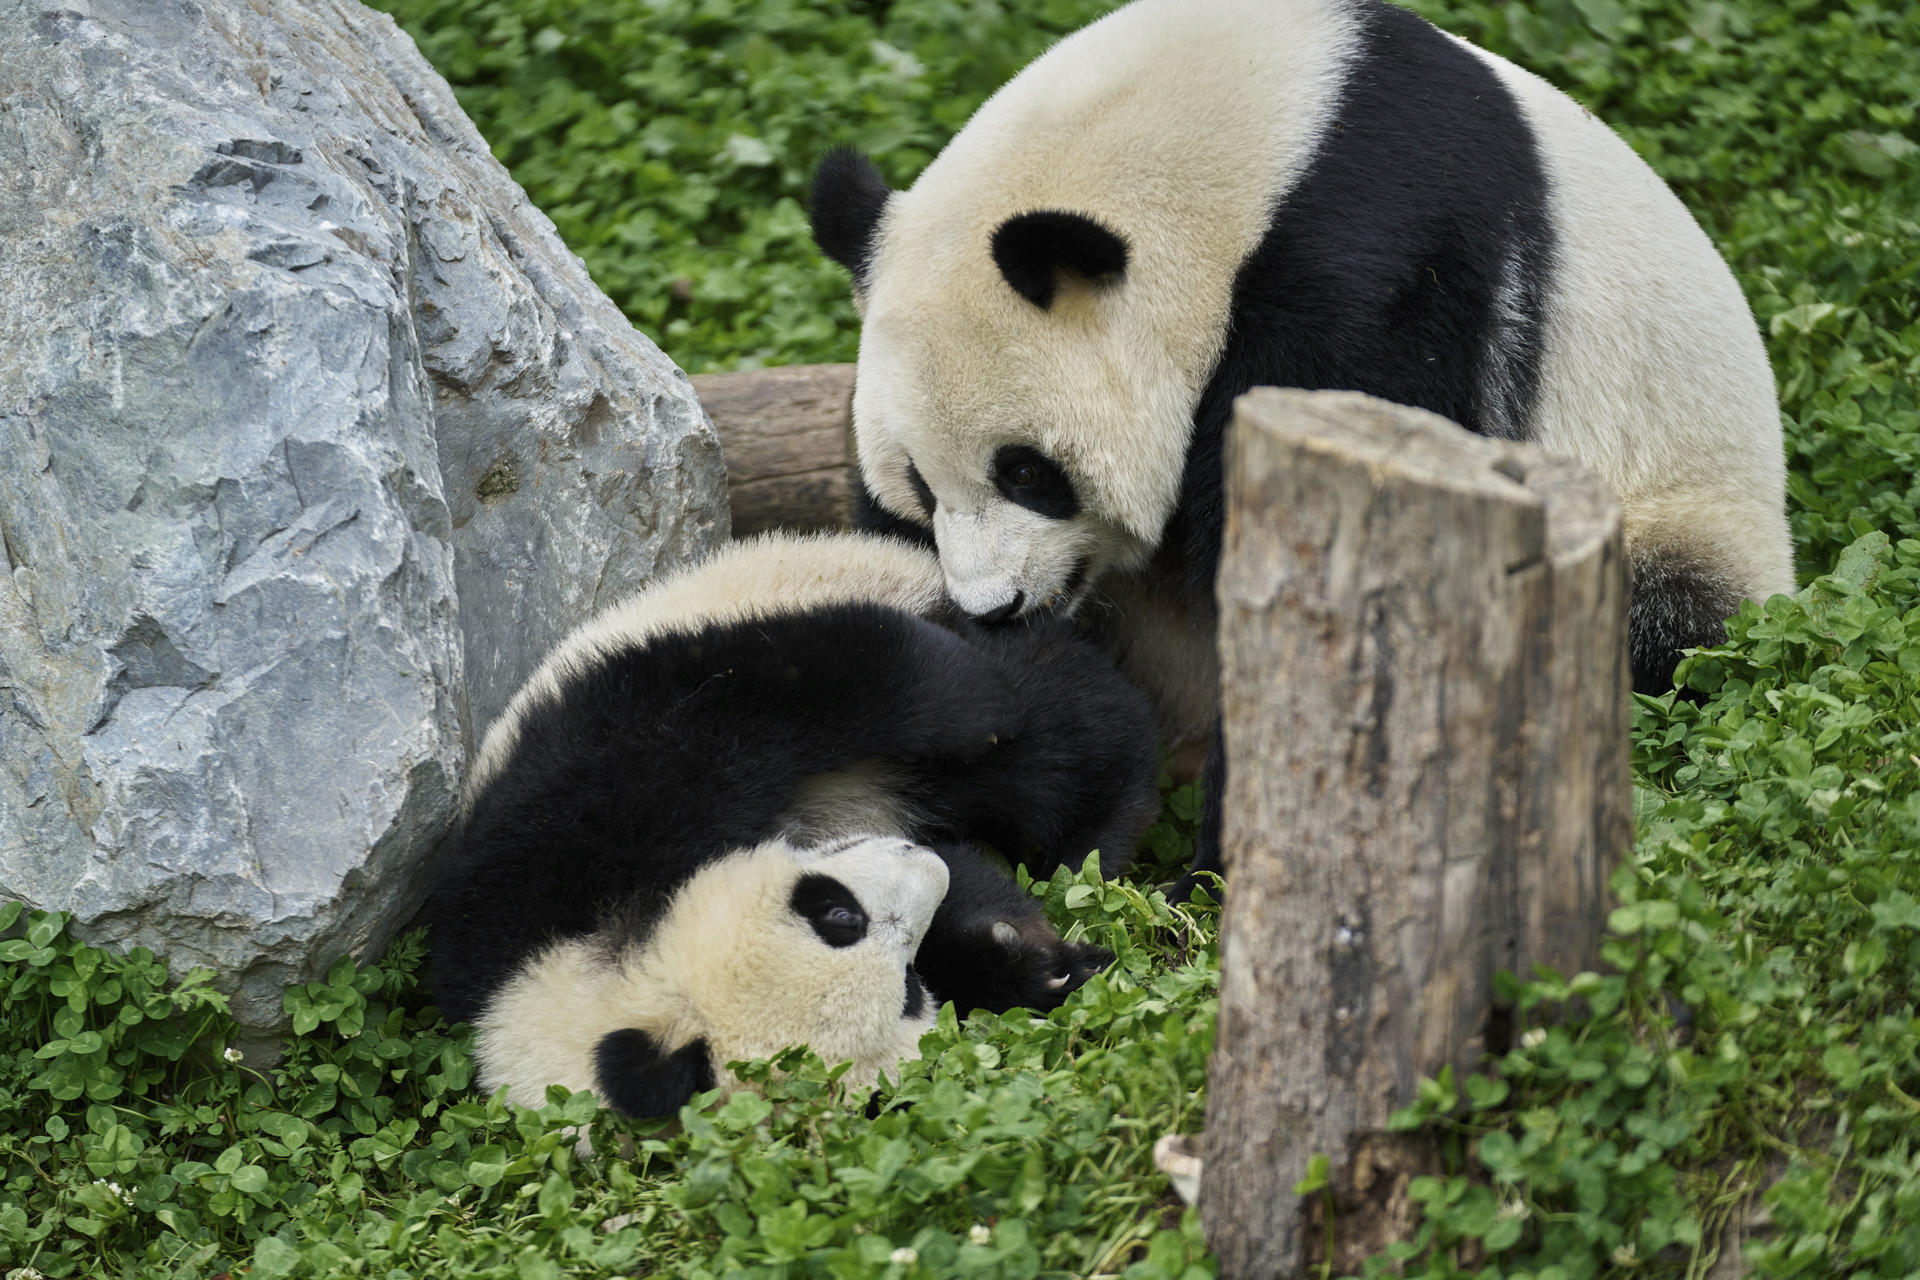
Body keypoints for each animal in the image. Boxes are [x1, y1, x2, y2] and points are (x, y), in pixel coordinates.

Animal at [431, 530, 1160, 1118]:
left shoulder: (552, 846)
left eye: (835, 913)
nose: (923, 863)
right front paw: (1029, 961)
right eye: (911, 993)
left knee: (1059, 730)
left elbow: (754, 696)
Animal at [808, 0, 1793, 884]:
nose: (994, 608)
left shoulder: (1373, 264)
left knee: (1673, 628)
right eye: (919, 486)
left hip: (1680, 511)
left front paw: (1212, 878)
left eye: (1026, 471)